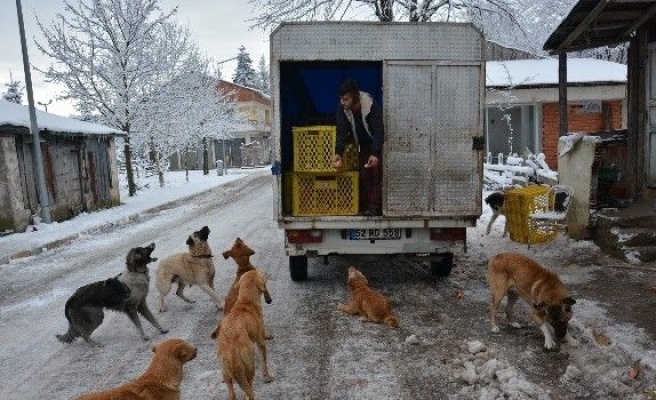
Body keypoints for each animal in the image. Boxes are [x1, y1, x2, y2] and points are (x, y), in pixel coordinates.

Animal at [213, 268, 274, 400]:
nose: (269, 300)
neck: (245, 302)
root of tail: (232, 353)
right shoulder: (260, 342)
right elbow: (264, 362)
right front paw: (267, 377)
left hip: (225, 372)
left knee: (232, 393)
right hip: (249, 365)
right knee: (249, 388)